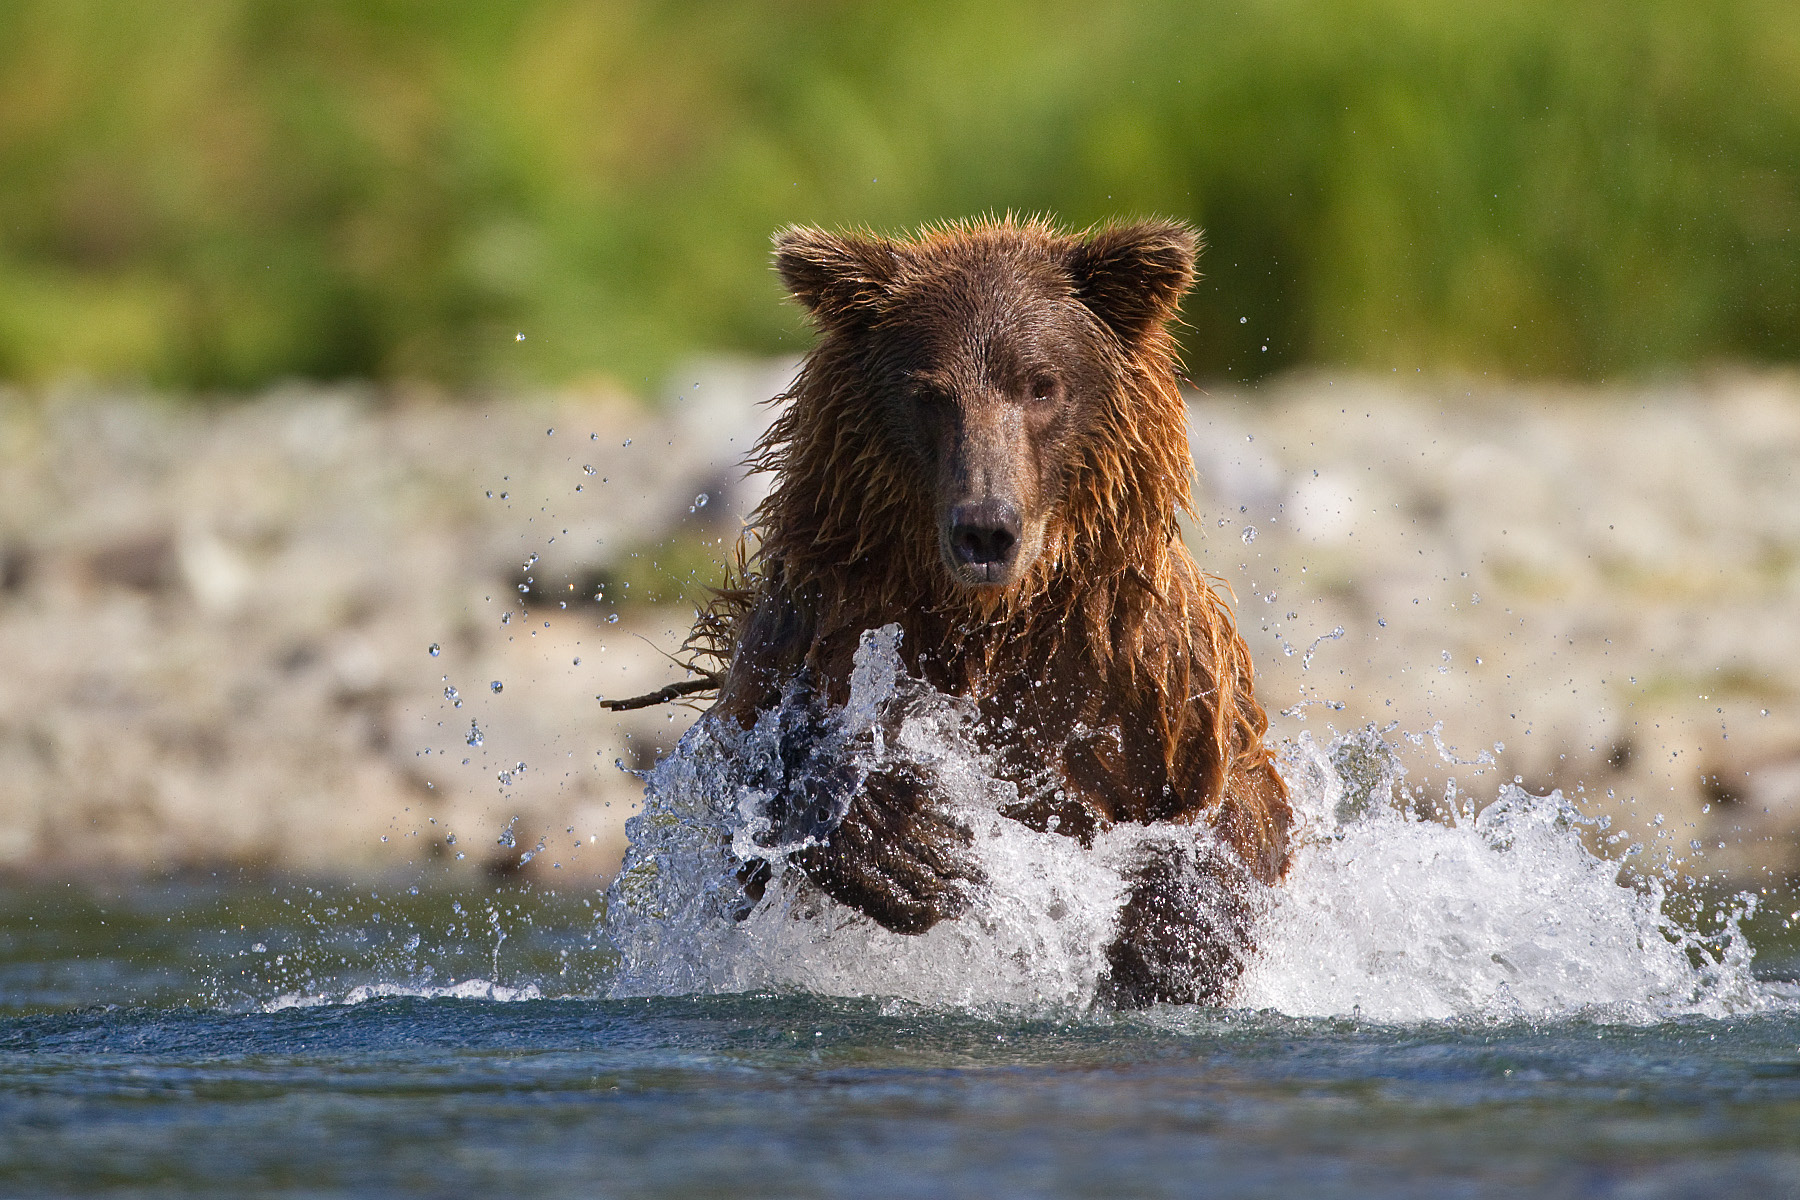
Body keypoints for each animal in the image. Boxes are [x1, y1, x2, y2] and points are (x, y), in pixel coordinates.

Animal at [618, 216, 1291, 1006]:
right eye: (929, 392)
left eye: (1041, 385)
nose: (985, 528)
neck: (994, 619)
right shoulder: (820, 623)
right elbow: (747, 776)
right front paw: (906, 843)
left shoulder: (1146, 672)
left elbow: (1243, 802)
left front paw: (1175, 934)